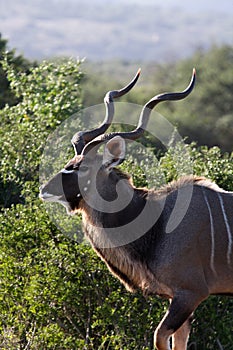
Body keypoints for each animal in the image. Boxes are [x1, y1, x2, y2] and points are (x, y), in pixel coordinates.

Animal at [40, 69, 233, 348]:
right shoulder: (178, 300)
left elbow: (159, 337)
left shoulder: (190, 293)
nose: (44, 189)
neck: (157, 222)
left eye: (82, 168)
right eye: (70, 162)